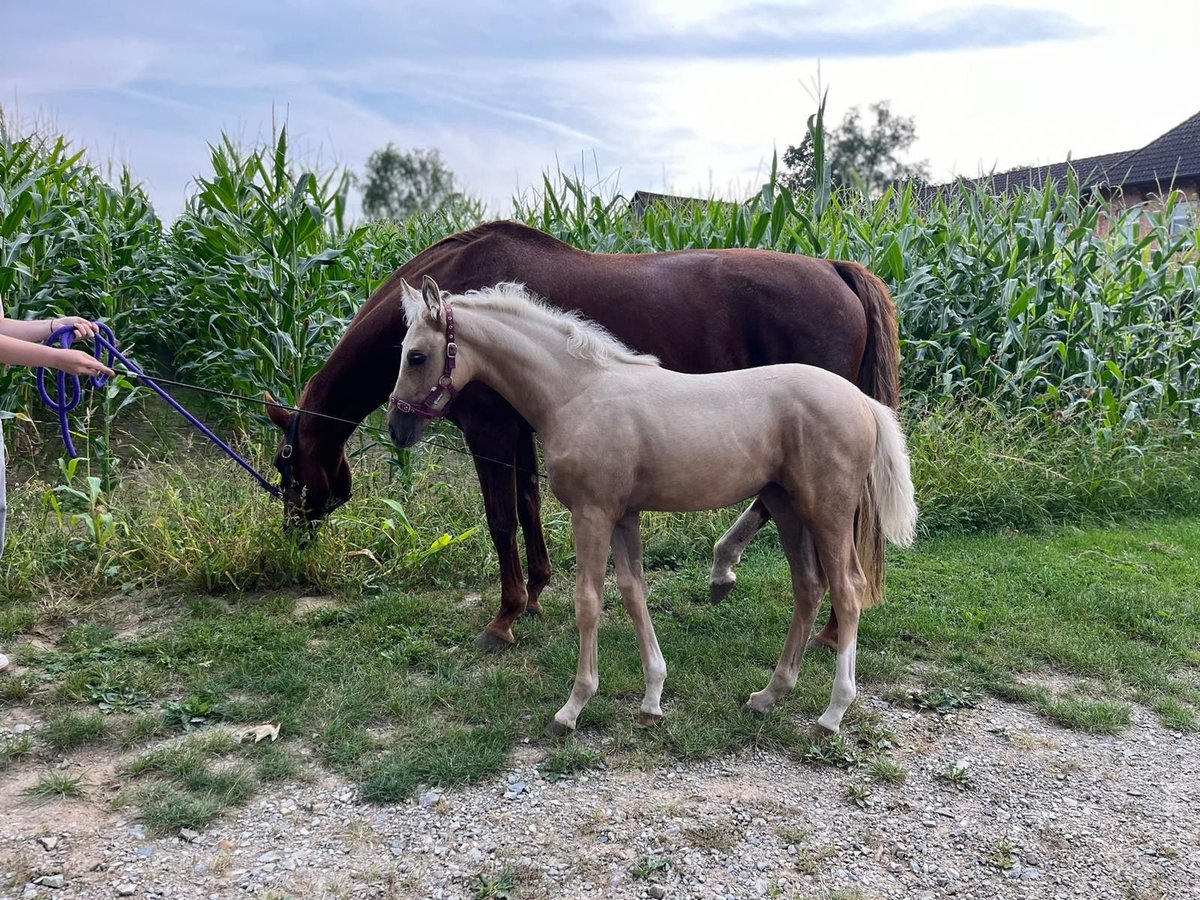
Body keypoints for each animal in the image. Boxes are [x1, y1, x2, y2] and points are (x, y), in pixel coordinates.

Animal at [265, 223, 902, 652]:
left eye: (283, 463)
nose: (291, 536)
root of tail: (835, 268)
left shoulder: (489, 432)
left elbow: (501, 518)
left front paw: (504, 617)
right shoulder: (521, 431)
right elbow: (526, 506)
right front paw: (535, 595)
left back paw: (822, 622)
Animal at [388, 278, 912, 734]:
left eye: (416, 356)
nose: (397, 427)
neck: (576, 393)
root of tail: (861, 400)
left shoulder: (592, 514)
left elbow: (588, 600)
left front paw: (573, 707)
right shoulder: (623, 515)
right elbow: (633, 592)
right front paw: (652, 699)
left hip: (828, 511)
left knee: (848, 590)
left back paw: (833, 713)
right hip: (787, 507)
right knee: (808, 587)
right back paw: (768, 695)